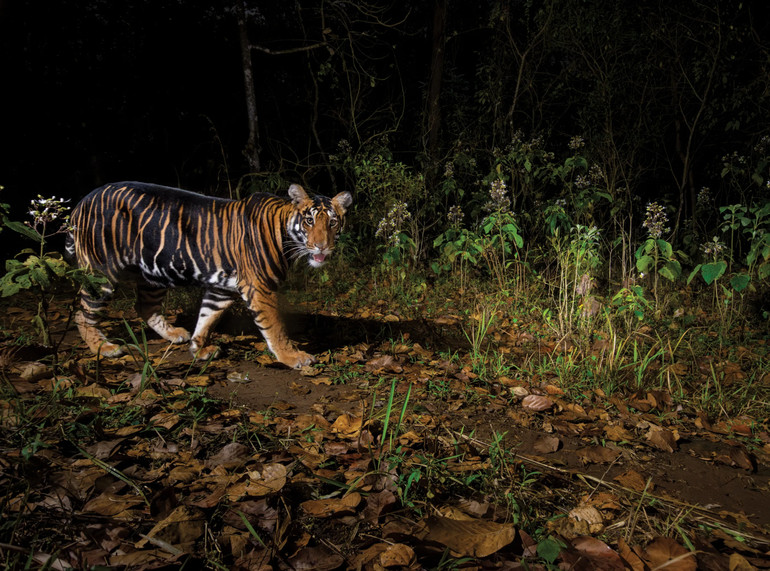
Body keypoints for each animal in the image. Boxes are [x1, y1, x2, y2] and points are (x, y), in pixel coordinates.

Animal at [67, 183, 352, 370]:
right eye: (309, 221)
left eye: (333, 222)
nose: (322, 247)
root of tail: (82, 201)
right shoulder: (260, 287)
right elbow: (275, 327)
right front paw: (293, 358)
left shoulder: (222, 289)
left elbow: (207, 318)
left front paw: (198, 349)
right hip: (101, 272)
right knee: (82, 313)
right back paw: (104, 348)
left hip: (154, 273)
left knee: (144, 306)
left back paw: (174, 334)